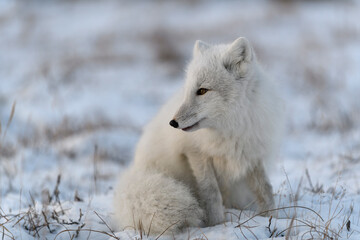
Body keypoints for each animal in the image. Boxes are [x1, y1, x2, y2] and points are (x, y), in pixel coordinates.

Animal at [114, 37, 282, 234]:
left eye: (202, 91)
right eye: (187, 91)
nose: (173, 123)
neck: (231, 128)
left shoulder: (252, 154)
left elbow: (265, 190)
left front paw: (274, 218)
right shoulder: (195, 154)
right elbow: (211, 194)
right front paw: (217, 225)